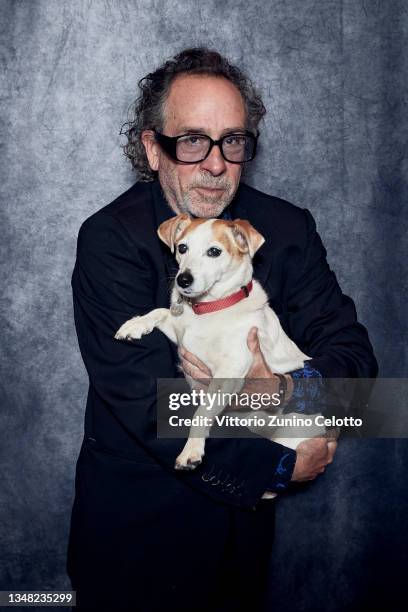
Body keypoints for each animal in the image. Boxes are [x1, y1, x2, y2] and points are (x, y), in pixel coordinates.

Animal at [113, 213, 324, 476]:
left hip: (291, 431)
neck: (211, 307)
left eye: (214, 252)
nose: (183, 280)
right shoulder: (179, 331)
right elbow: (160, 311)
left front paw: (191, 451)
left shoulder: (229, 373)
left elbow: (201, 412)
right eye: (182, 248)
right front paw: (135, 324)